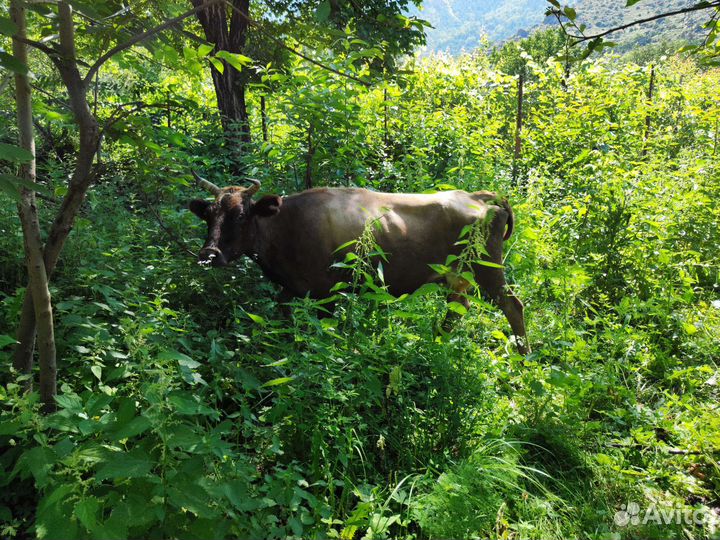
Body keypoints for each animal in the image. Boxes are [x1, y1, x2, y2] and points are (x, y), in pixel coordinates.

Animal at [188, 172, 529, 354]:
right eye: (208, 215)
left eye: (240, 215)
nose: (209, 253)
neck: (287, 226)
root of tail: (480, 195)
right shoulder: (290, 291)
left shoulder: (326, 293)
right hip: (457, 276)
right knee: (458, 308)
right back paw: (436, 343)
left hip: (488, 270)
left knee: (513, 305)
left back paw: (524, 357)